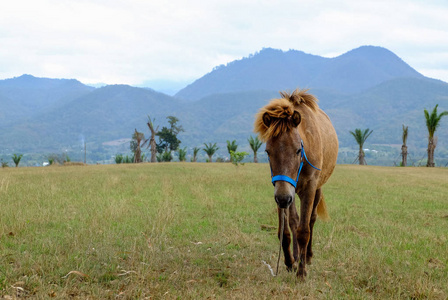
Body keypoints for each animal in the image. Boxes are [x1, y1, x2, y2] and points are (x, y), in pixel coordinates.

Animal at [254, 89, 338, 278]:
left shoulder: (308, 188)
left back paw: (307, 256)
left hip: (316, 189)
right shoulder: (282, 190)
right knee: (294, 222)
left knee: (311, 220)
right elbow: (286, 231)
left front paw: (301, 272)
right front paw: (289, 262)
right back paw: (297, 255)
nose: (283, 198)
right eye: (267, 152)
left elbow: (304, 230)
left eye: (299, 150)